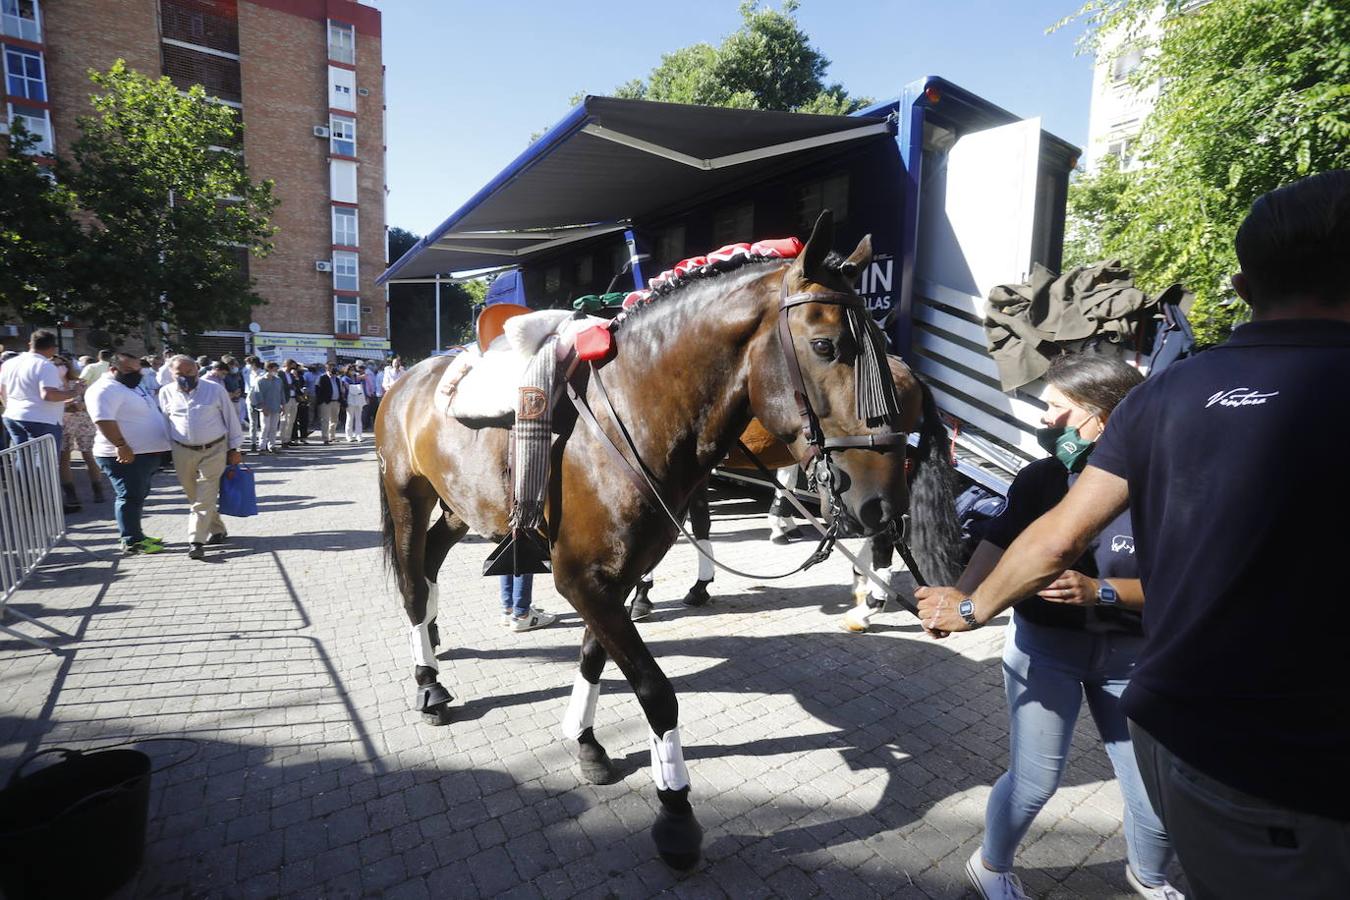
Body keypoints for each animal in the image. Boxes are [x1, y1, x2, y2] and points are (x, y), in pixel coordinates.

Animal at [375, 214, 934, 868]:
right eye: (826, 346)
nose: (883, 502)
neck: (626, 417)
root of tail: (411, 375)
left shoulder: (609, 577)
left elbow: (594, 658)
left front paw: (585, 741)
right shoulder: (582, 579)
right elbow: (654, 690)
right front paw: (675, 808)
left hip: (460, 506)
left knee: (432, 563)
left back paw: (436, 640)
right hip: (406, 495)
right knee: (413, 582)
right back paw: (429, 682)